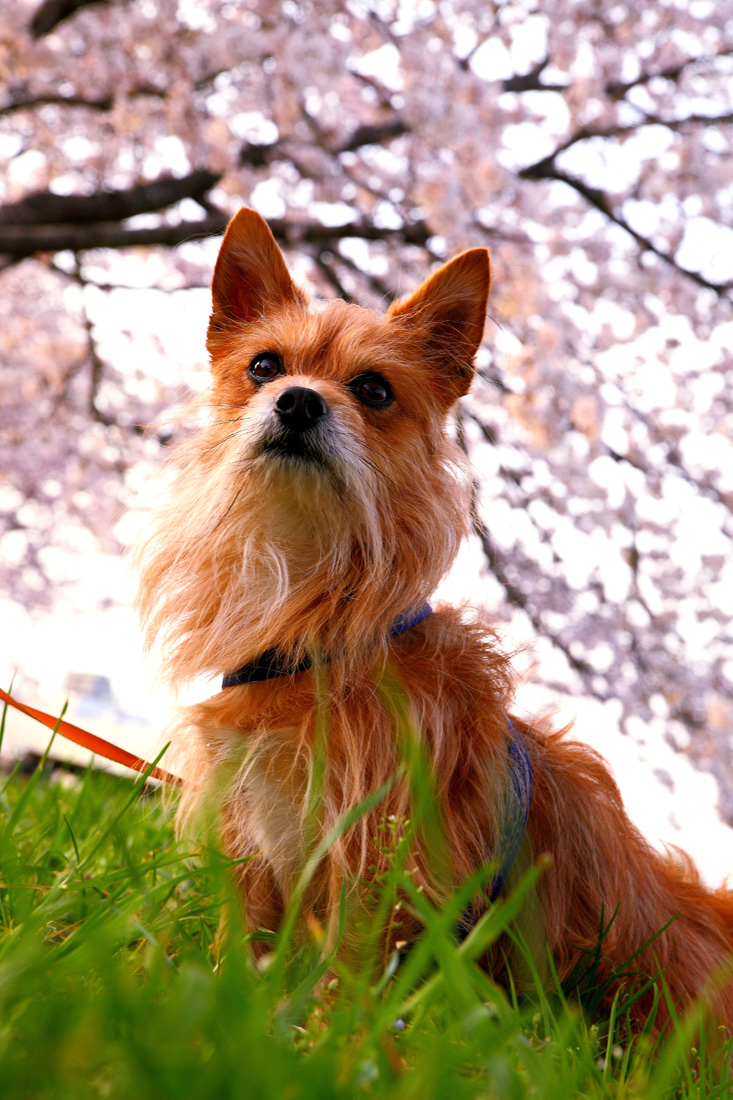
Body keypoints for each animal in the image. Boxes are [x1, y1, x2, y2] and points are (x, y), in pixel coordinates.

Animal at [136, 207, 733, 1034]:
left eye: (372, 388)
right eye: (263, 366)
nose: (298, 400)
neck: (316, 628)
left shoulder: (378, 850)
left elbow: (347, 965)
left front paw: (323, 1040)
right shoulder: (252, 830)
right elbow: (241, 945)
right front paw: (215, 1014)